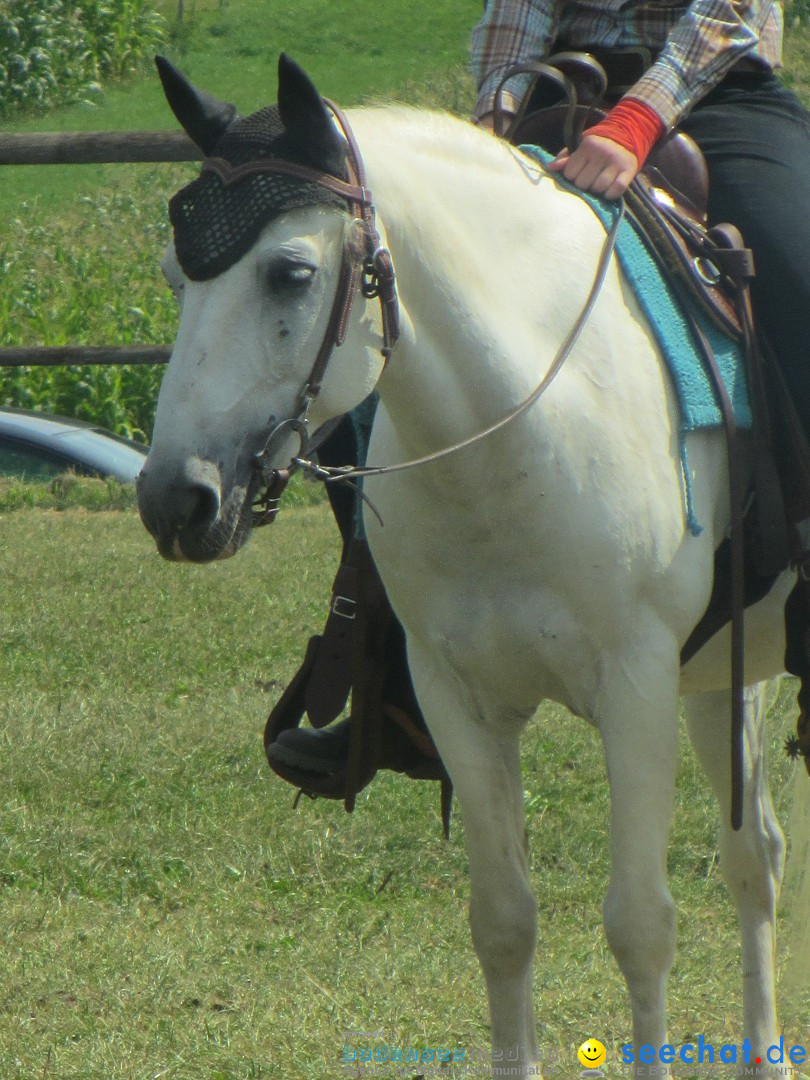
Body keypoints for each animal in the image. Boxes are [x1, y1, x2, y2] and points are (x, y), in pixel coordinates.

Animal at [136, 56, 794, 1080]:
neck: (523, 425)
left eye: (290, 273)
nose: (177, 500)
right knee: (753, 854)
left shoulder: (636, 687)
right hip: (723, 677)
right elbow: (504, 923)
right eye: (176, 275)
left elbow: (640, 926)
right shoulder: (457, 698)